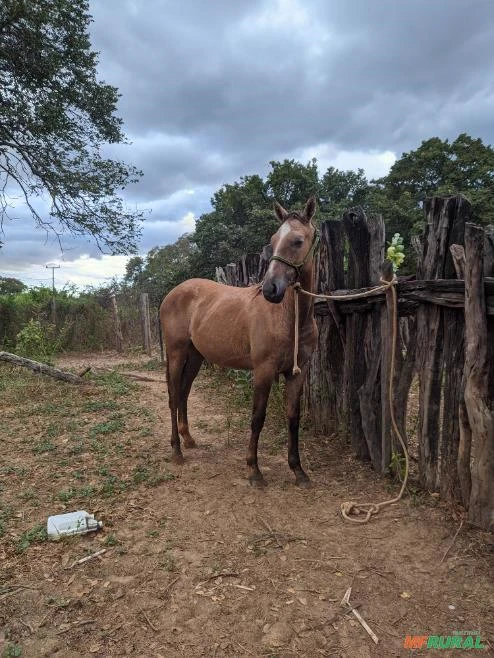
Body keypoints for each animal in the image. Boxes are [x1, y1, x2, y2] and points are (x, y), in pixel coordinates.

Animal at [160, 195, 318, 482]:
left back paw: (188, 439)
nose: (270, 289)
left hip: (196, 356)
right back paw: (177, 451)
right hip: (176, 354)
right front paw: (254, 469)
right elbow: (257, 418)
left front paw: (298, 470)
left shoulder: (297, 372)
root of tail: (173, 293)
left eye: (298, 241)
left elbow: (293, 418)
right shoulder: (263, 370)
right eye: (273, 239)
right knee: (174, 395)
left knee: (184, 393)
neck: (290, 318)